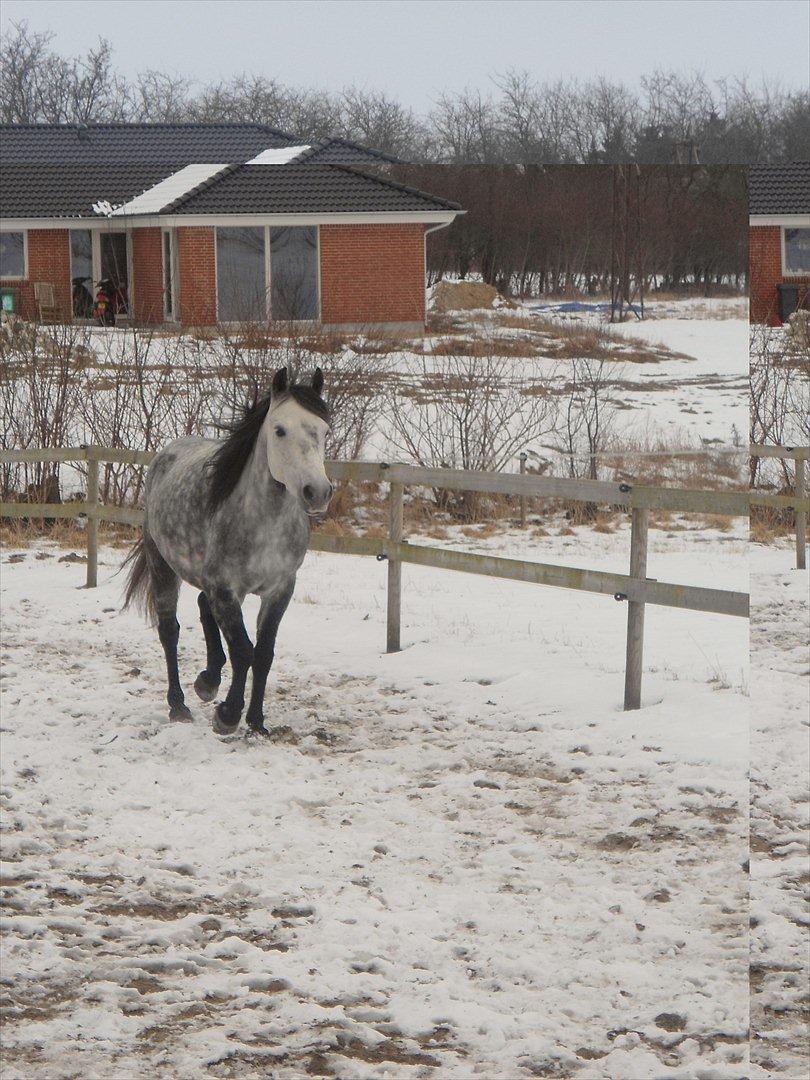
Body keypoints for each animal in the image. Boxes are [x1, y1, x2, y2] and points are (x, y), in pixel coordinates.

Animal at [123, 369, 332, 734]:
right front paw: (228, 715)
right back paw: (179, 705)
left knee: (203, 606)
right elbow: (243, 651)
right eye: (280, 430)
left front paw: (257, 722)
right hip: (163, 567)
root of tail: (168, 452)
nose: (317, 492)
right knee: (169, 631)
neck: (264, 524)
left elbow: (263, 653)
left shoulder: (279, 589)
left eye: (323, 431)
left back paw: (208, 681)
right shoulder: (224, 588)